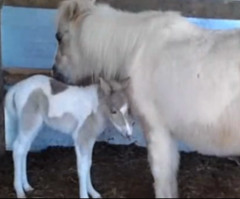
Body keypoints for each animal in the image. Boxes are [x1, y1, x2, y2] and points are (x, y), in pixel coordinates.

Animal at [4, 75, 133, 199]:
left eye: (127, 109)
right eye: (113, 111)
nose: (128, 134)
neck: (95, 110)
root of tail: (16, 88)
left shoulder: (90, 140)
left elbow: (88, 164)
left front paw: (93, 193)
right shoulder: (81, 138)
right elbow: (82, 167)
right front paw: (84, 195)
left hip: (34, 127)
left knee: (24, 150)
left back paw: (26, 186)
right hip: (30, 123)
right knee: (18, 148)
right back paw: (20, 191)